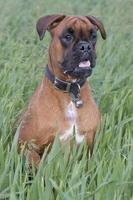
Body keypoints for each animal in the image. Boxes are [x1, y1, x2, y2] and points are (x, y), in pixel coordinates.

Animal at [17, 13, 106, 164]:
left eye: (93, 36)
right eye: (67, 36)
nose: (85, 46)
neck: (71, 90)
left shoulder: (89, 148)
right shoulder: (26, 146)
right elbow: (34, 161)